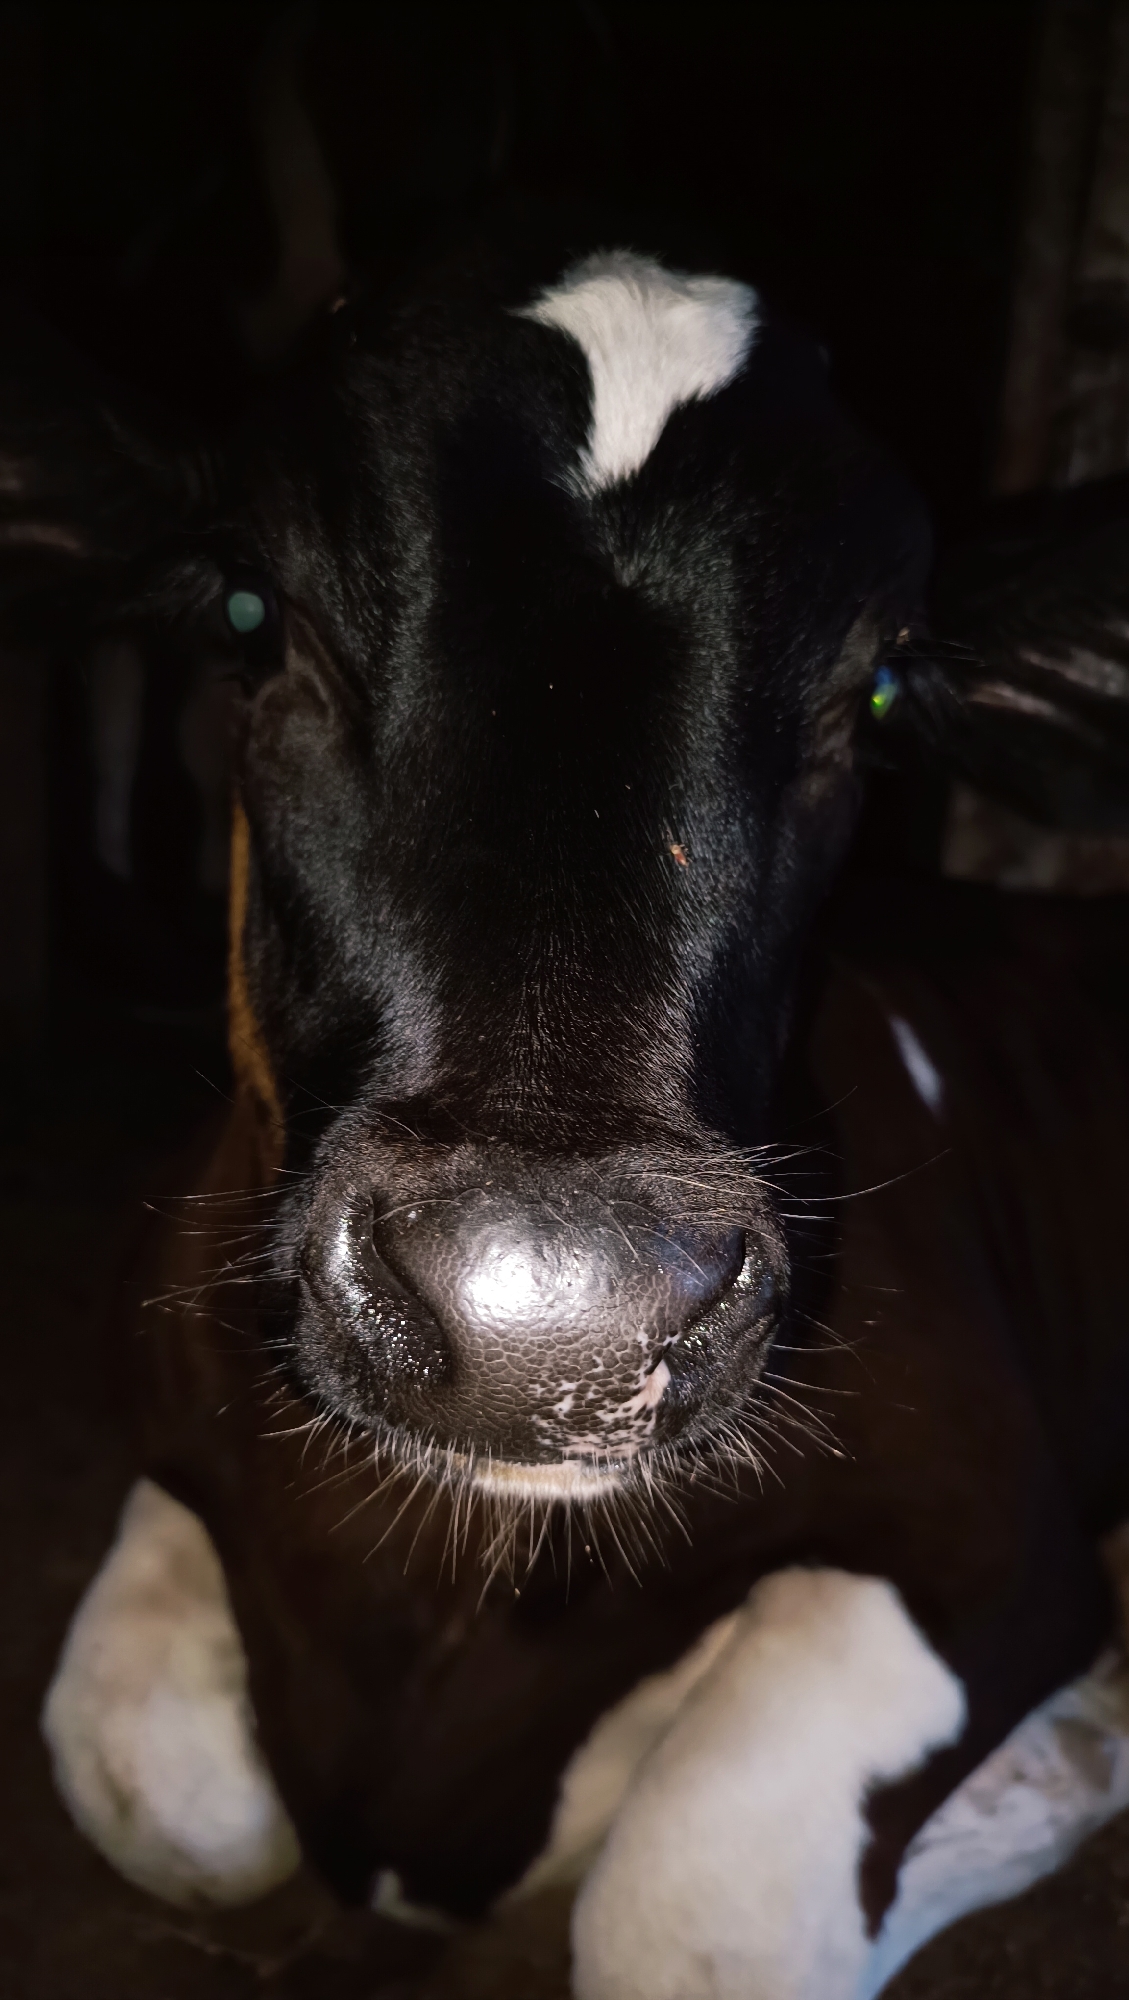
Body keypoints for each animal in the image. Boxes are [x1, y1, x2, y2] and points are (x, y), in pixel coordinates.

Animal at [8, 236, 1129, 1997]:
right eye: (252, 608)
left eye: (878, 692)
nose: (558, 1318)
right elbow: (159, 1786)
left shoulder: (1000, 1534)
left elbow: (685, 1908)